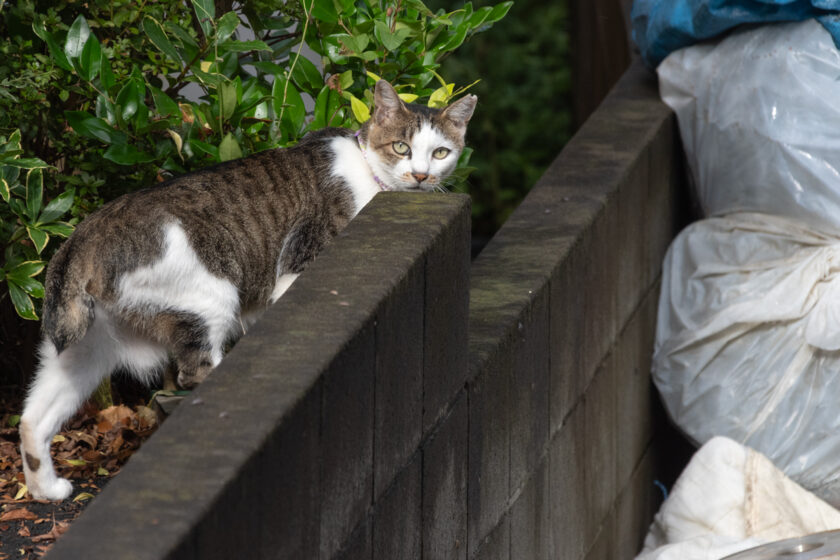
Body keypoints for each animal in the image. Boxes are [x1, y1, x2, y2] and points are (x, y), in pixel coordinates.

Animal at [19, 77, 476, 498]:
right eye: (401, 147)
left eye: (440, 152)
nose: (421, 176)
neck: (370, 177)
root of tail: (82, 240)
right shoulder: (297, 269)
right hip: (212, 296)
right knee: (196, 371)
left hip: (85, 346)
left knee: (32, 418)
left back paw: (47, 489)